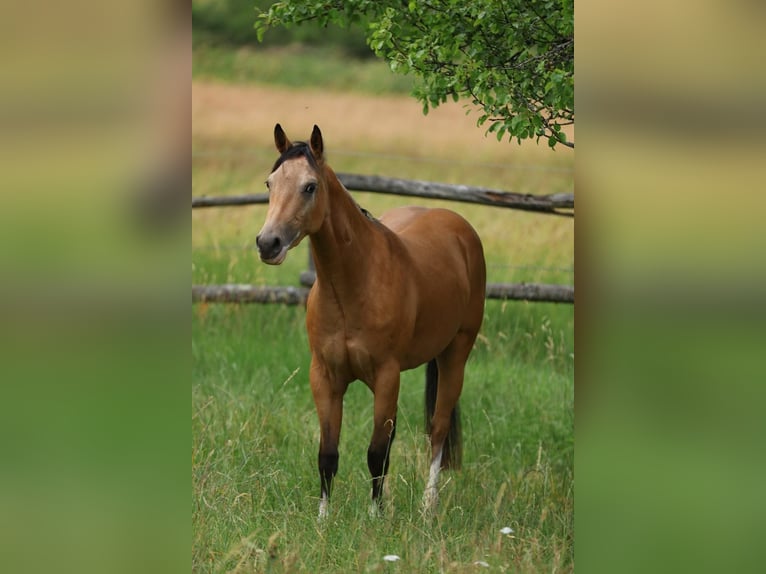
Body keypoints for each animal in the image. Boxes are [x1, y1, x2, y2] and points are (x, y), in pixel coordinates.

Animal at [256, 124, 486, 519]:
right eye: (271, 183)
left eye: (309, 186)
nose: (267, 243)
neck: (353, 285)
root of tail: (459, 228)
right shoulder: (325, 377)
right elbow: (328, 453)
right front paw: (323, 519)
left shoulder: (386, 376)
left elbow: (377, 453)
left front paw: (375, 517)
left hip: (456, 354)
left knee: (437, 429)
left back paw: (428, 508)